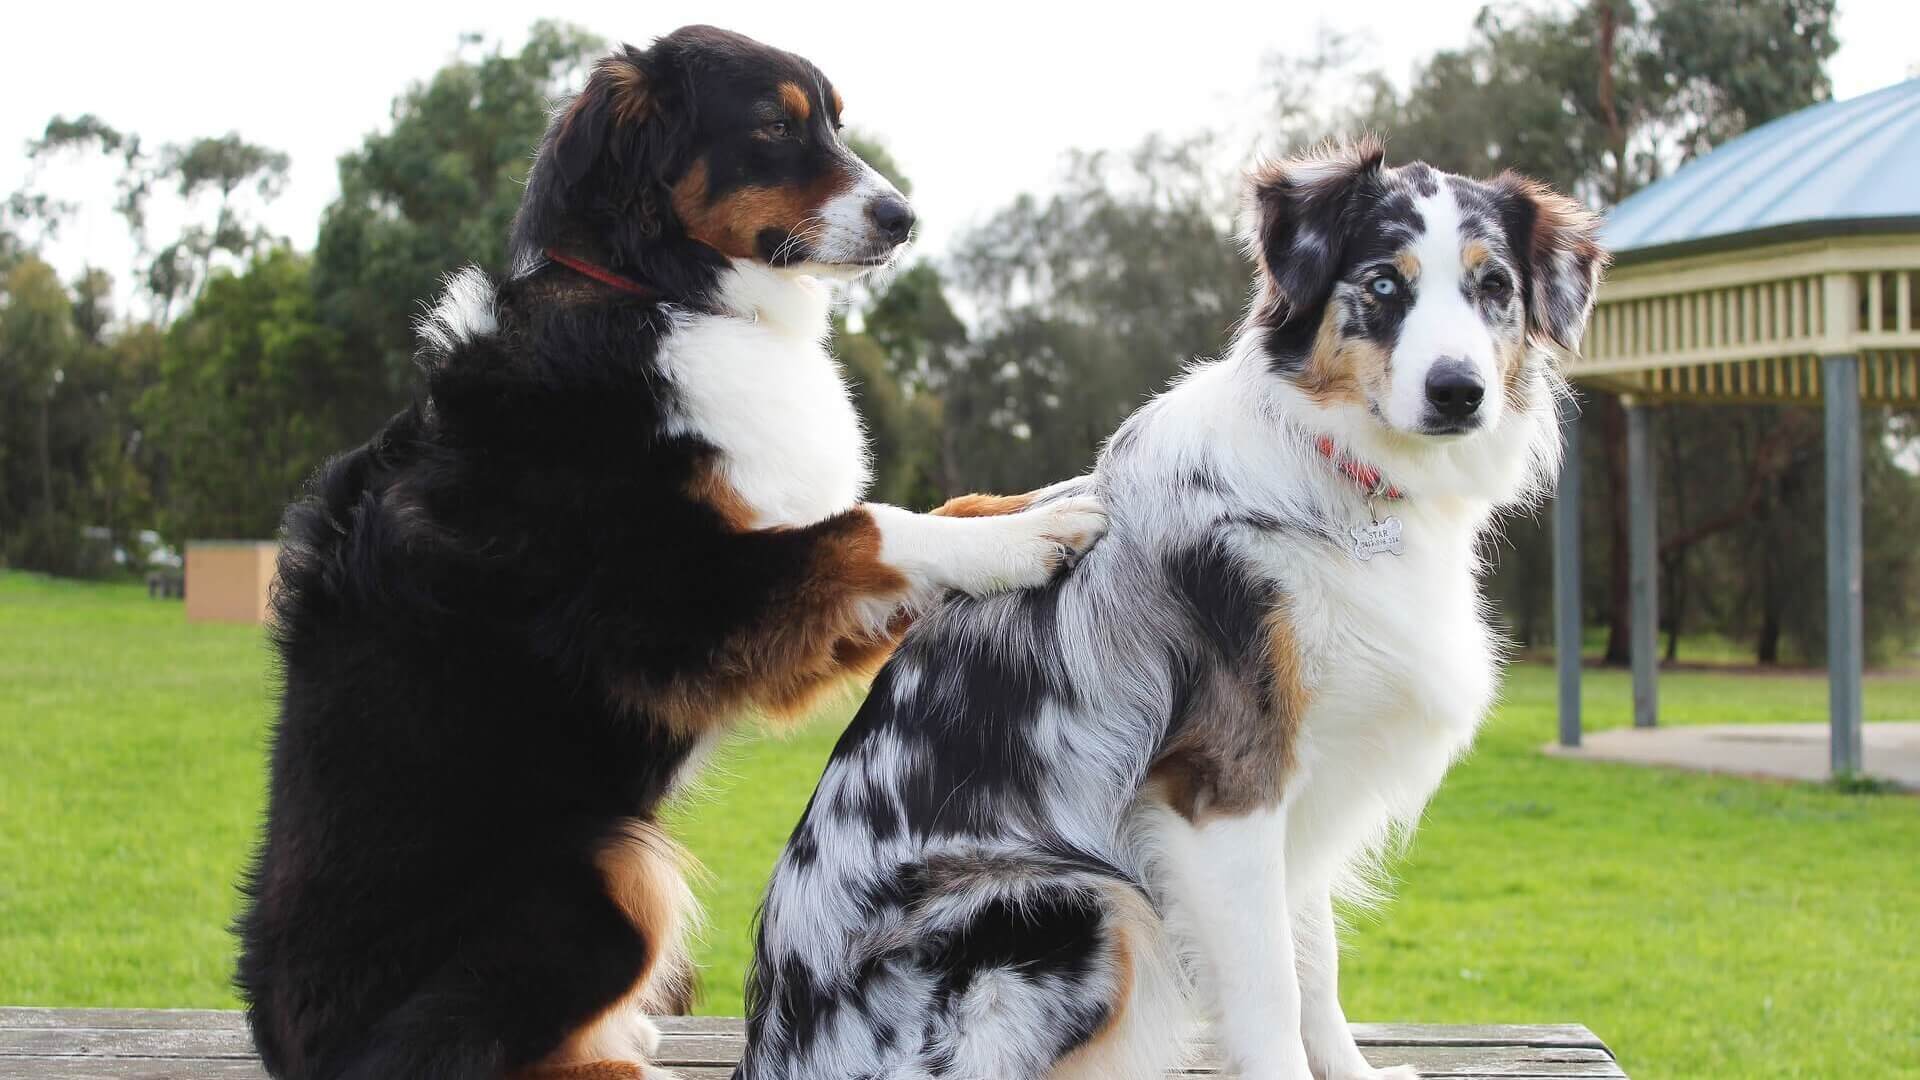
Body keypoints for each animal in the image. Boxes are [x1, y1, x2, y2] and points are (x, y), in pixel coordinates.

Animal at [232, 25, 1105, 1076]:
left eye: (833, 122)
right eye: (773, 126)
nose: (904, 218)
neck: (661, 291)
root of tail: (287, 1046)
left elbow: (925, 511)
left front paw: (1038, 496)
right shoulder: (674, 607)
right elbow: (873, 525)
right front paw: (1032, 535)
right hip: (605, 873)